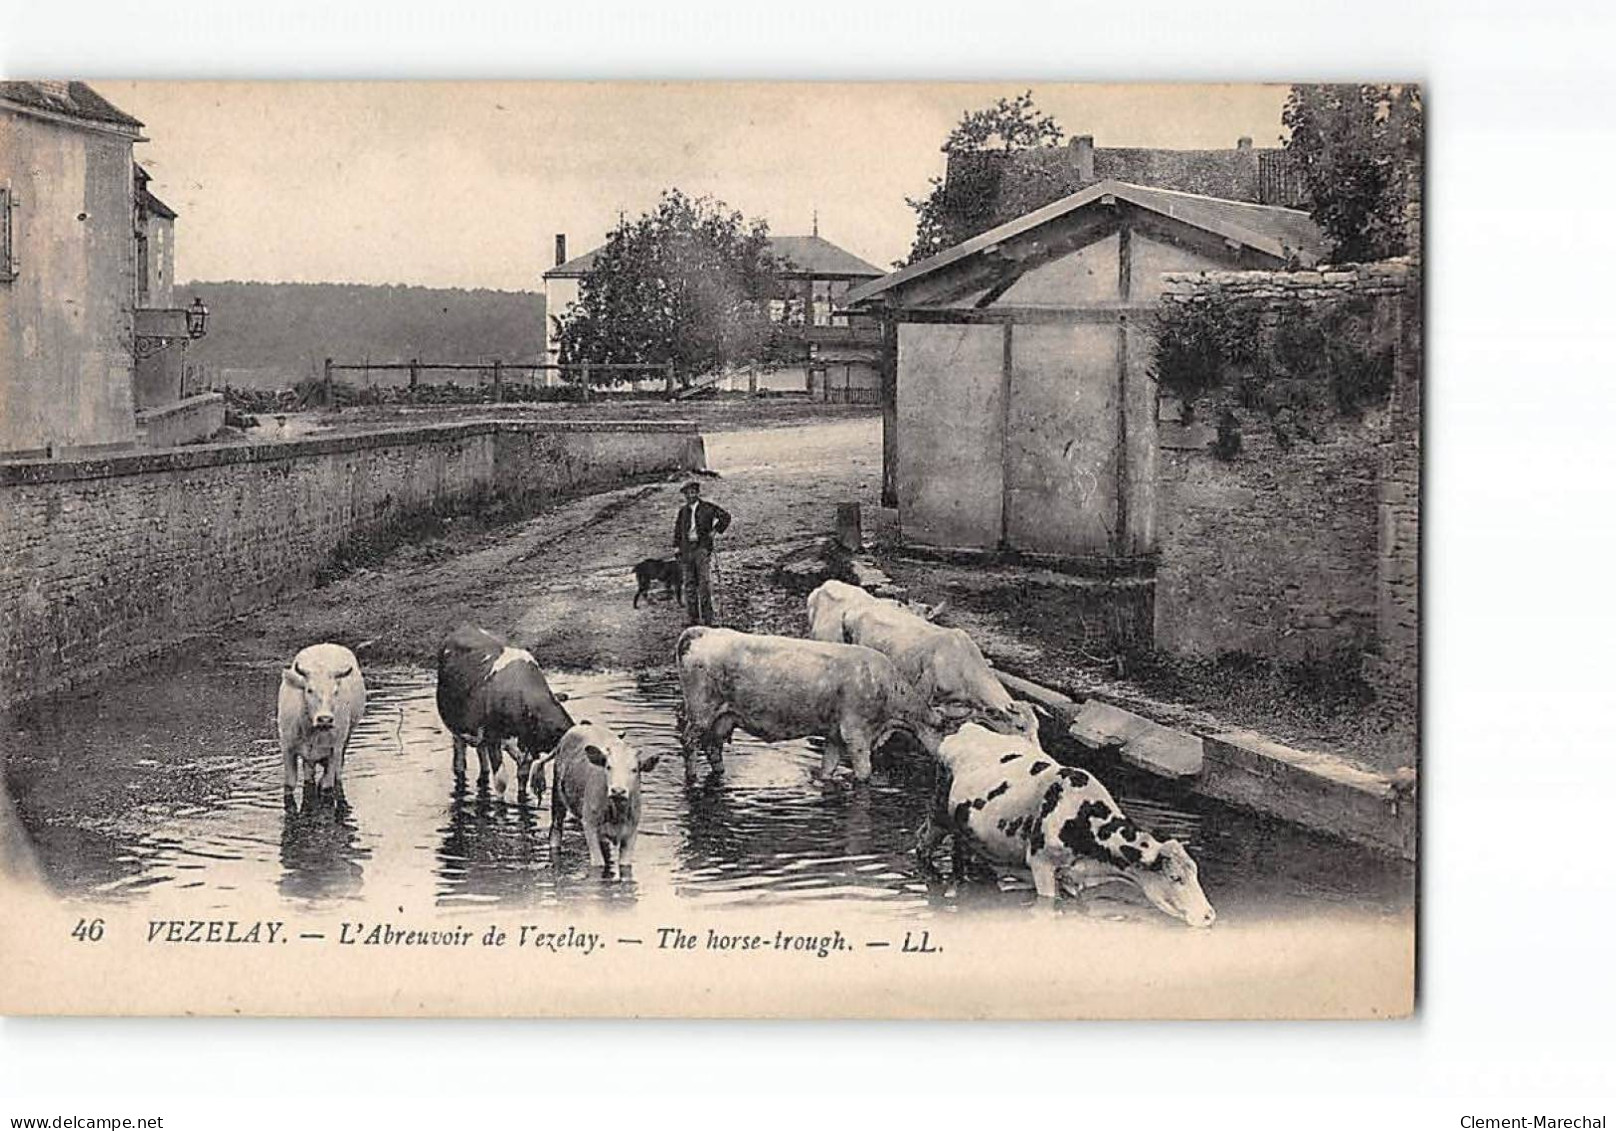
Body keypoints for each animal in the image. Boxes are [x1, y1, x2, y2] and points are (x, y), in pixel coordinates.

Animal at [279, 639, 368, 807]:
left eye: (335, 691)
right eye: (309, 690)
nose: (325, 719)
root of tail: (326, 644)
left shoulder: (334, 750)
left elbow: (327, 787)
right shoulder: (288, 749)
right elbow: (289, 785)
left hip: (345, 740)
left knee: (337, 770)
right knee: (309, 773)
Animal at [436, 623, 575, 798]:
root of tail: (465, 627)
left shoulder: (526, 749)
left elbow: (522, 777)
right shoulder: (494, 738)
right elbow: (501, 782)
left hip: (479, 731)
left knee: (482, 758)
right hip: (457, 728)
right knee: (460, 760)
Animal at [672, 623, 943, 782]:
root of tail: (703, 631)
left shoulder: (835, 734)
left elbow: (828, 768)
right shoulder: (855, 731)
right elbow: (864, 773)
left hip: (722, 717)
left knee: (712, 746)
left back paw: (719, 773)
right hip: (701, 709)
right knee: (689, 741)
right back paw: (692, 777)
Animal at [917, 723, 1215, 930]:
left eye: (1195, 873)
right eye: (1175, 878)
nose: (1209, 915)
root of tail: (967, 730)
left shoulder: (1073, 877)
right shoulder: (1041, 864)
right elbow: (1047, 905)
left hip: (973, 837)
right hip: (937, 816)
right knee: (923, 845)